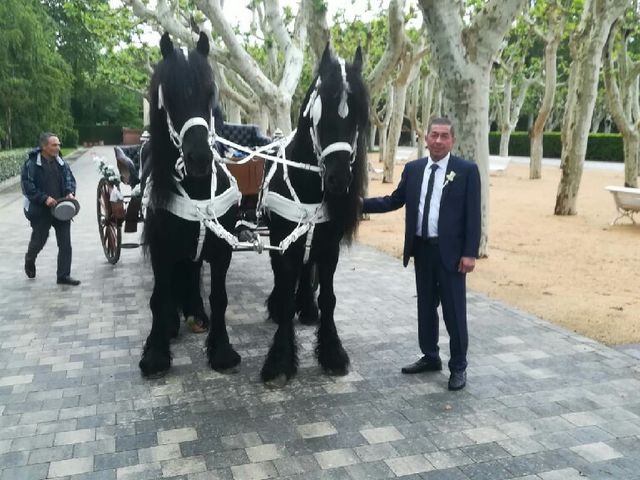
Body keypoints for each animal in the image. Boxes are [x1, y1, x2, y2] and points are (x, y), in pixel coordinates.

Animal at [139, 32, 241, 378]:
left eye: (211, 93)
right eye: (168, 97)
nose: (199, 158)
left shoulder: (222, 250)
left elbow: (220, 297)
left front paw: (221, 350)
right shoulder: (160, 248)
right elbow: (159, 297)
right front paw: (156, 353)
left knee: (192, 270)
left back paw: (196, 312)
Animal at [262, 46, 370, 386]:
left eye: (357, 119)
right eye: (322, 115)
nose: (339, 179)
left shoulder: (329, 247)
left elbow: (329, 298)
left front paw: (332, 352)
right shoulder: (283, 243)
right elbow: (285, 293)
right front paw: (280, 359)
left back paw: (307, 308)